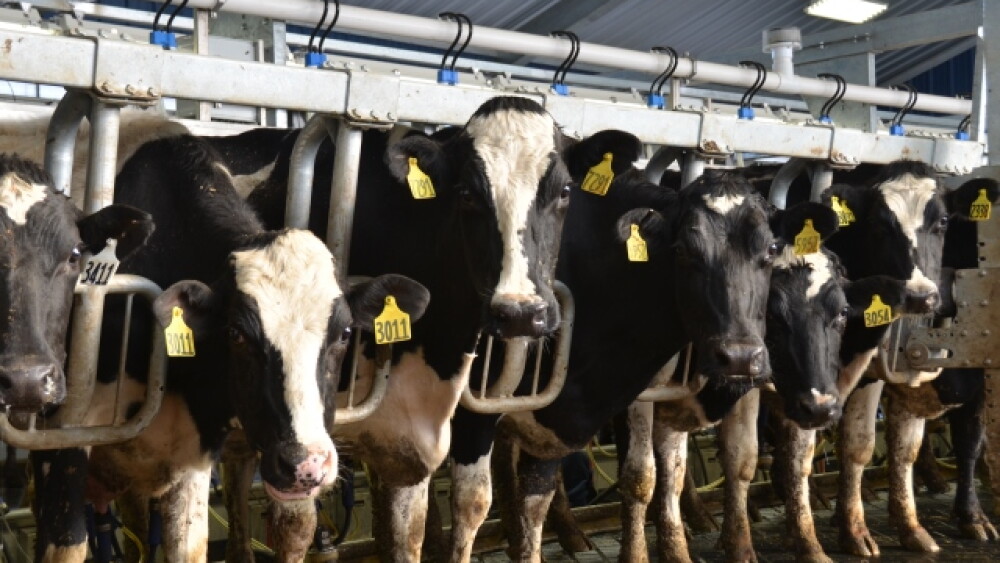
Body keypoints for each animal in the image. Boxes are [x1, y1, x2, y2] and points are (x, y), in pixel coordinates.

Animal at [205, 96, 591, 561]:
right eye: (466, 193)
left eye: (565, 192)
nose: (520, 313)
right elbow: (295, 526)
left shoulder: (434, 426)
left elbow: (450, 512)